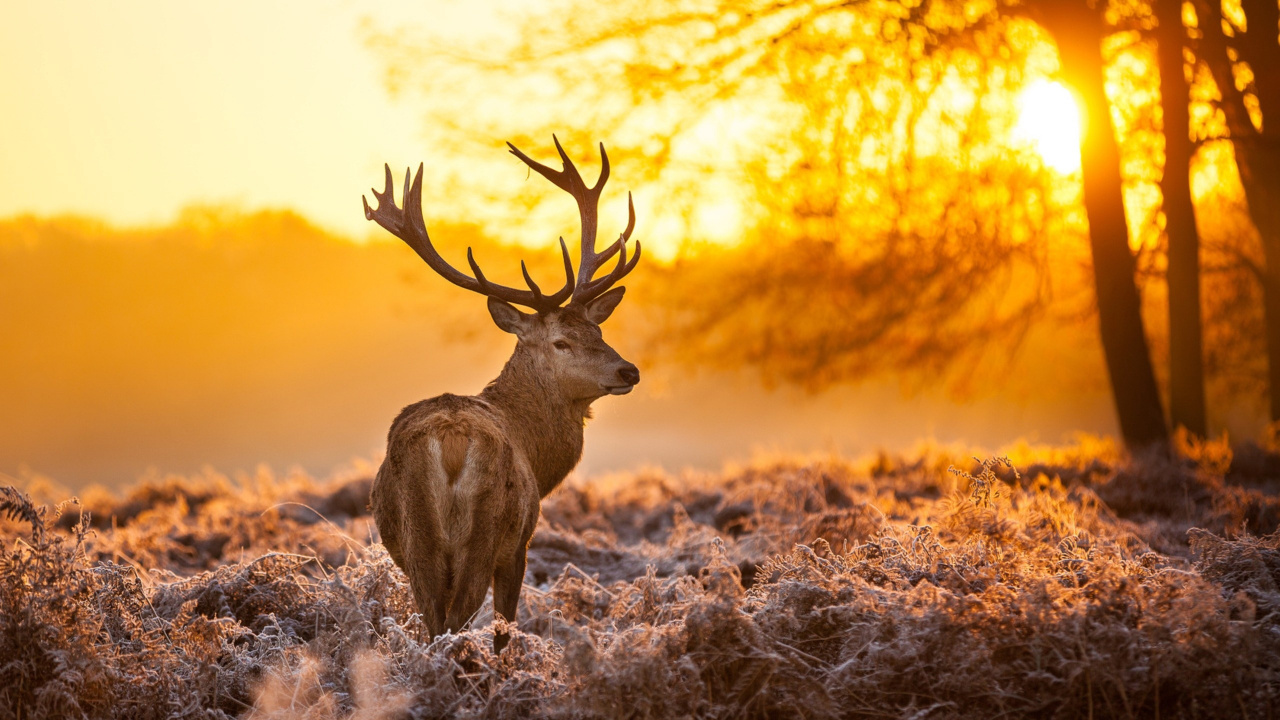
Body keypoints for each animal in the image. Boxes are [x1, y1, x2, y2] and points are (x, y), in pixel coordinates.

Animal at [362, 137, 641, 653]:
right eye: (561, 341)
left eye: (598, 330)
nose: (628, 369)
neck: (537, 452)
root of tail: (451, 441)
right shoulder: (520, 544)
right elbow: (504, 629)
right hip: (486, 531)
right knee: (457, 621)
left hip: (417, 540)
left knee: (434, 622)